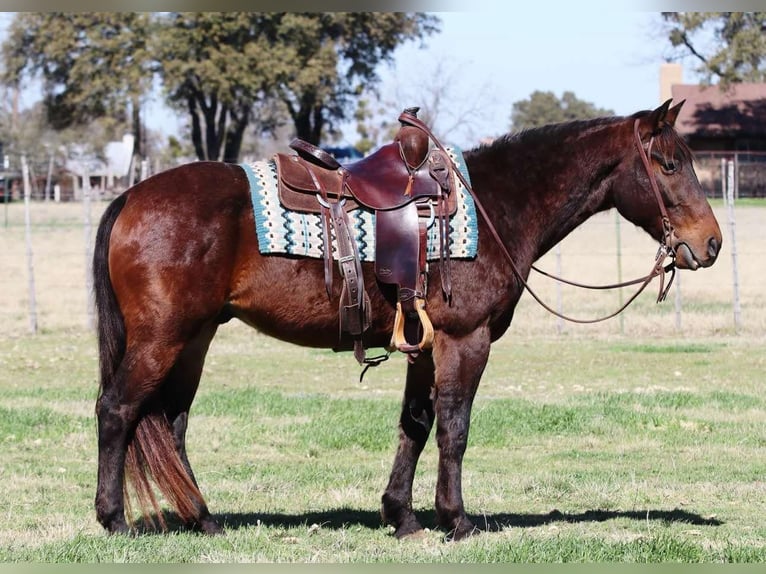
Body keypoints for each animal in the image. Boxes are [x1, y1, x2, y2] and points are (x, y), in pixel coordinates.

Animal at [93, 100, 724, 540]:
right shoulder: (465, 340)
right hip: (163, 337)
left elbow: (415, 426)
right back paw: (114, 520)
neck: (494, 205)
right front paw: (457, 520)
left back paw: (203, 519)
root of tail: (130, 198)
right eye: (670, 164)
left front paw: (402, 517)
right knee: (118, 410)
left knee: (171, 423)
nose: (711, 243)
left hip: (194, 339)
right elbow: (454, 429)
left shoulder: (423, 345)